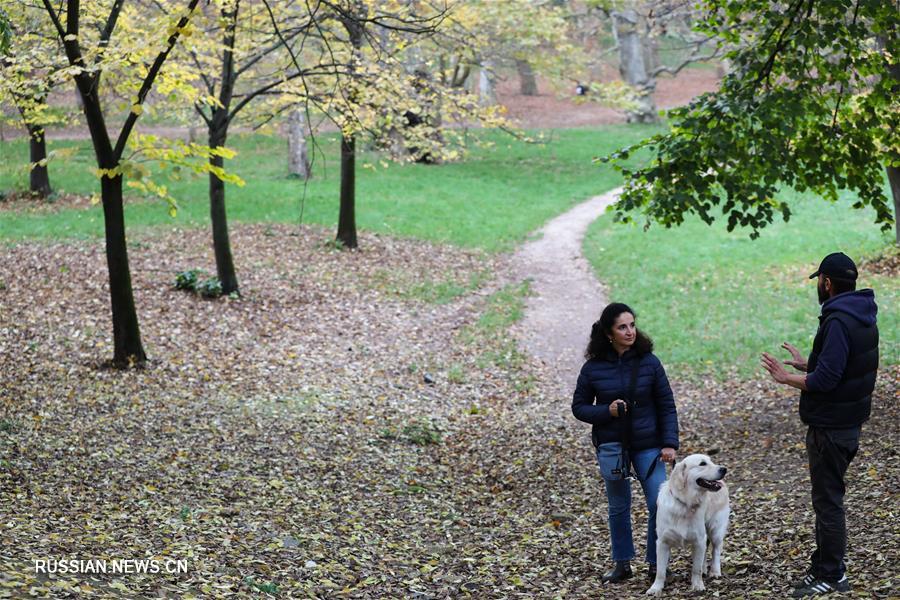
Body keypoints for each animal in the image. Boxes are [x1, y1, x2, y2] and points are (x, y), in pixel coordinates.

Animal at [644, 454, 728, 596]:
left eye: (711, 461)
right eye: (702, 464)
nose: (724, 469)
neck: (684, 502)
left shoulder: (699, 539)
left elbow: (696, 569)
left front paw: (697, 585)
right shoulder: (662, 542)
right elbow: (660, 571)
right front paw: (655, 588)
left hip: (715, 529)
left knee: (716, 550)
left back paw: (715, 571)